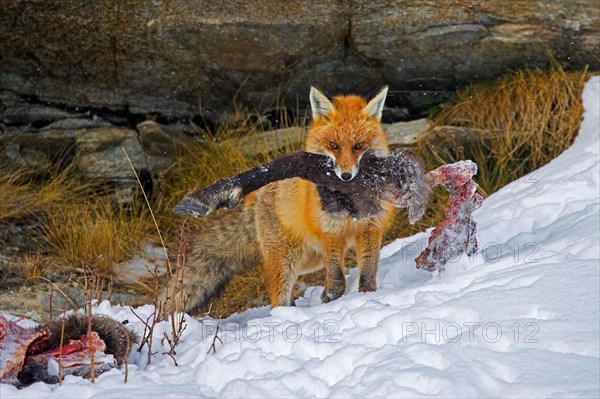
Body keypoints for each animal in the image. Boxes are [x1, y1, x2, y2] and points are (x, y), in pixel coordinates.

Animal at [179, 86, 394, 314]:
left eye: (359, 145)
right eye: (333, 145)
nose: (345, 176)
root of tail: (258, 195)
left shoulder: (371, 228)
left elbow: (368, 271)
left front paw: (367, 295)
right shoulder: (330, 233)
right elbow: (336, 278)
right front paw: (332, 296)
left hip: (310, 260)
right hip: (285, 261)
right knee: (278, 299)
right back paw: (284, 314)